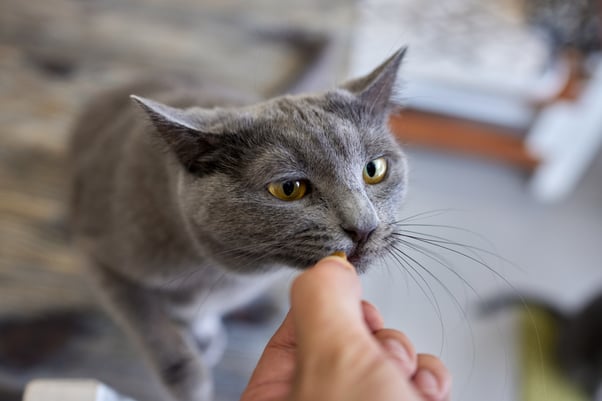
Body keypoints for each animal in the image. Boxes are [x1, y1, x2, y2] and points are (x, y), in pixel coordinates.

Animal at [69, 47, 408, 400]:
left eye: (374, 169)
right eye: (289, 188)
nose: (364, 227)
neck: (220, 270)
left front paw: (203, 334)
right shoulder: (99, 257)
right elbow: (148, 321)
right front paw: (191, 380)